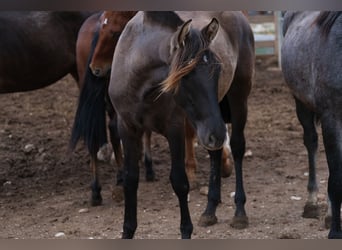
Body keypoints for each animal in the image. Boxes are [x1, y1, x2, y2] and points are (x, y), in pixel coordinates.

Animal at [109, 11, 254, 238]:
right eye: (186, 75)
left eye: (218, 69)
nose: (218, 133)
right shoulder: (127, 128)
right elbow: (130, 181)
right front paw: (127, 231)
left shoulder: (174, 128)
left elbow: (179, 181)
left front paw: (186, 230)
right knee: (215, 154)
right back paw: (210, 210)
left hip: (236, 101)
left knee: (238, 147)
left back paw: (239, 212)